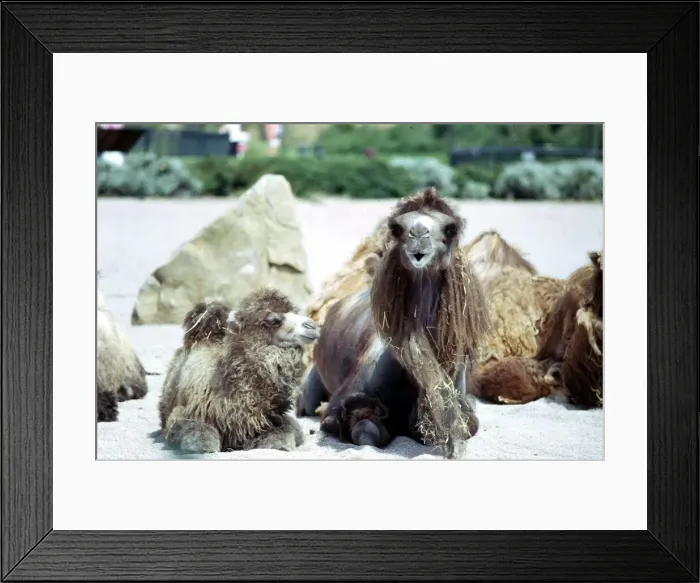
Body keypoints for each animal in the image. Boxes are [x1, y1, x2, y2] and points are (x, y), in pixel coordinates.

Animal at [159, 288, 320, 454]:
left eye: (295, 312)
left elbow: (284, 432)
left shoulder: (266, 420)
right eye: (273, 320)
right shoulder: (187, 412)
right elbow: (196, 432)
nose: (312, 326)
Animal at [297, 187, 492, 459]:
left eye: (450, 228)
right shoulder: (346, 405)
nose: (418, 234)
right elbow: (364, 429)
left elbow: (466, 425)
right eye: (397, 228)